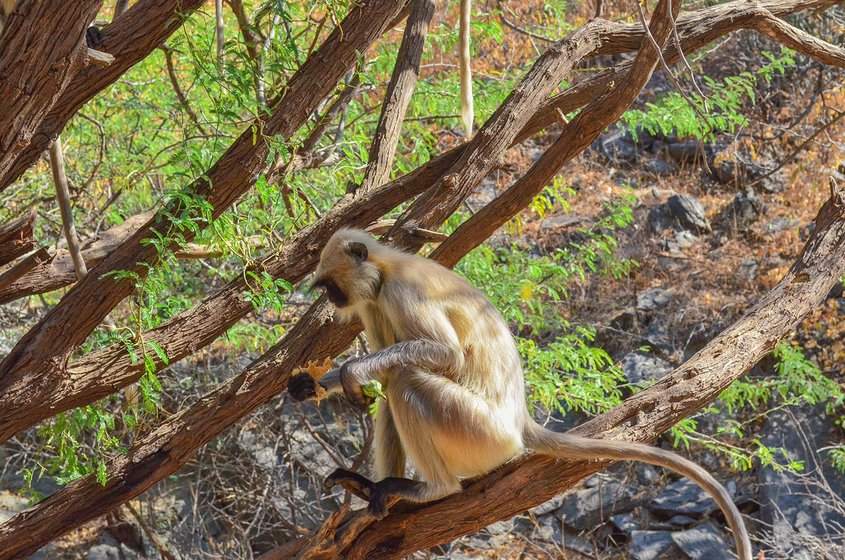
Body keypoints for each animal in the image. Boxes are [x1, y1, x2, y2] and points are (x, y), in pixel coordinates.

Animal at [288, 229, 752, 560]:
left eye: (330, 286)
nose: (331, 299)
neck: (385, 267)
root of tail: (520, 421)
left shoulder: (400, 291)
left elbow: (444, 355)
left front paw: (350, 370)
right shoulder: (372, 301)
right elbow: (380, 373)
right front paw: (313, 384)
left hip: (481, 434)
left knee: (404, 381)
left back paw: (433, 489)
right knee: (392, 383)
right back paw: (369, 487)